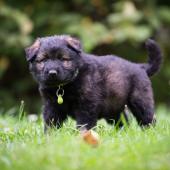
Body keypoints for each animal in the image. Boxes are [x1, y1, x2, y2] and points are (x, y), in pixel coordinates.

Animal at [24, 34, 162, 133]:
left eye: (63, 59)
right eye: (43, 60)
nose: (52, 73)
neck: (63, 86)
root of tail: (140, 67)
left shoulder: (86, 105)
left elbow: (84, 124)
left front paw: (84, 136)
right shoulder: (52, 106)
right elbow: (50, 122)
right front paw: (50, 137)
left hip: (140, 100)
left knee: (147, 117)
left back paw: (150, 133)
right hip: (113, 108)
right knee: (123, 121)